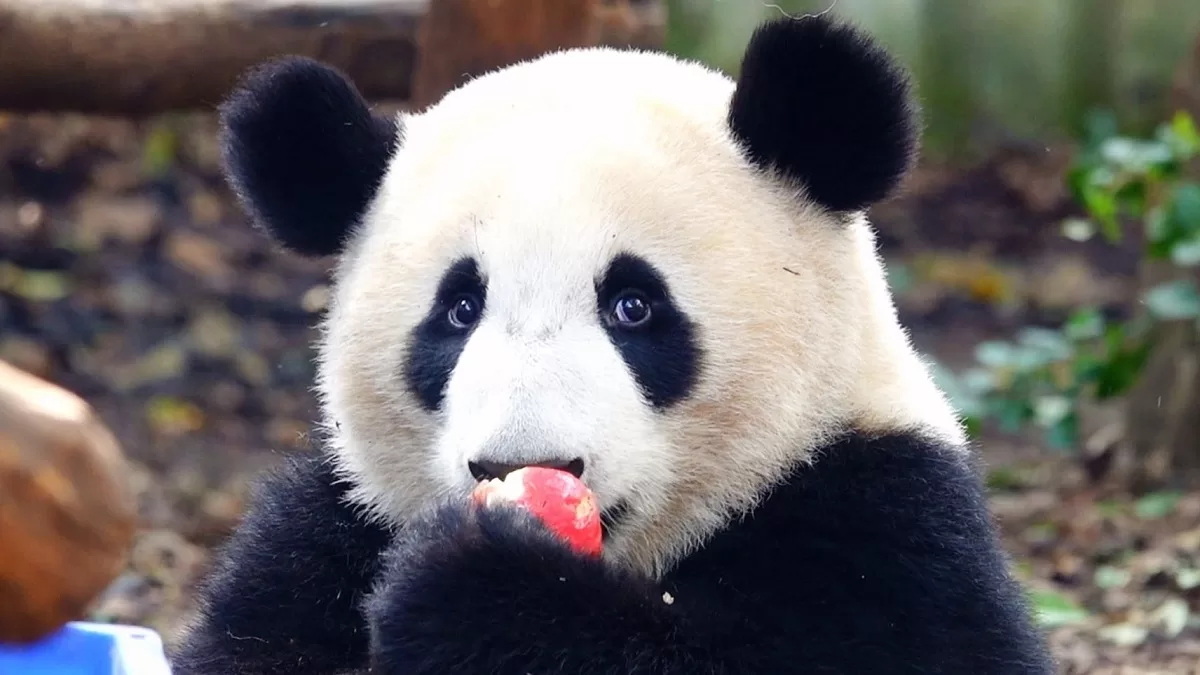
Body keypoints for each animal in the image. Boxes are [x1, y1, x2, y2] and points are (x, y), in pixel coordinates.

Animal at [170, 14, 1055, 675]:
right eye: (459, 310)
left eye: (633, 306)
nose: (522, 462)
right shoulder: (328, 532)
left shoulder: (885, 518)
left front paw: (478, 586)